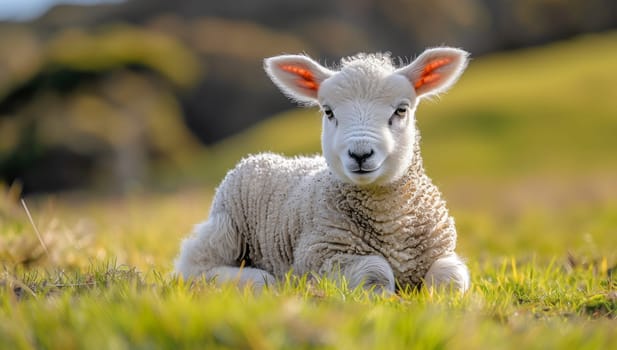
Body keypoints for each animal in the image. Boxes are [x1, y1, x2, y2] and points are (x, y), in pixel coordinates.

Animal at [176, 46, 470, 292]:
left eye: (401, 110)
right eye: (328, 112)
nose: (360, 154)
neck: (390, 223)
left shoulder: (443, 251)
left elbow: (452, 279)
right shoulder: (320, 254)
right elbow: (375, 272)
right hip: (226, 228)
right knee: (192, 265)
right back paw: (257, 279)